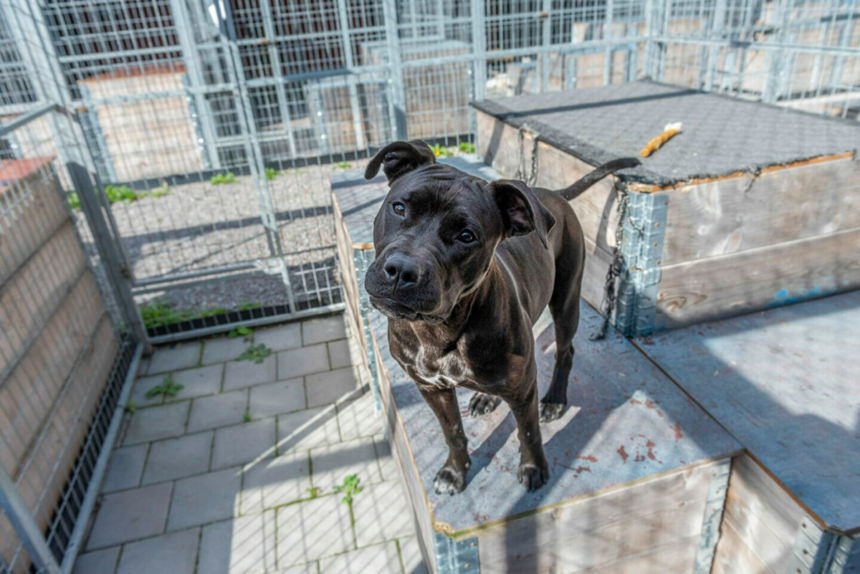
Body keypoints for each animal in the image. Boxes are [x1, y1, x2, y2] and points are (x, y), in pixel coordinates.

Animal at [362, 142, 640, 498]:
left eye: (467, 235)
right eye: (399, 207)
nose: (401, 271)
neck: (439, 330)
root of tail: (552, 194)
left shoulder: (524, 391)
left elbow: (529, 433)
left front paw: (534, 468)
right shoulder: (431, 388)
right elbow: (452, 432)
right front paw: (455, 471)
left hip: (566, 301)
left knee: (565, 352)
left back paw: (555, 399)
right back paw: (486, 396)